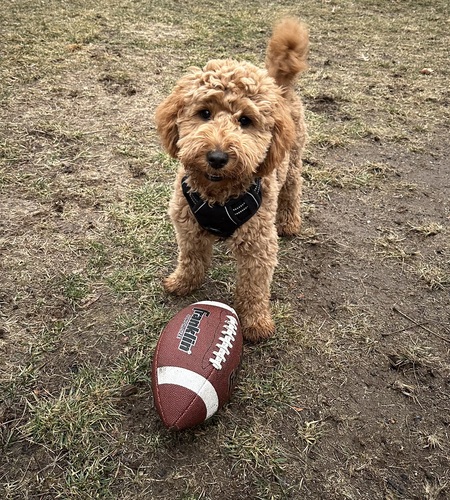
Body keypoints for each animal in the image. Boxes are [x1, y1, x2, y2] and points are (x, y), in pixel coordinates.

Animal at [156, 18, 310, 340]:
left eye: (245, 121)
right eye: (204, 113)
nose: (216, 157)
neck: (218, 194)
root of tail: (280, 86)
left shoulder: (259, 245)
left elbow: (254, 287)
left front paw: (255, 324)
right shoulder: (187, 227)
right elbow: (191, 259)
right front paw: (182, 283)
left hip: (293, 158)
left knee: (292, 189)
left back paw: (289, 222)